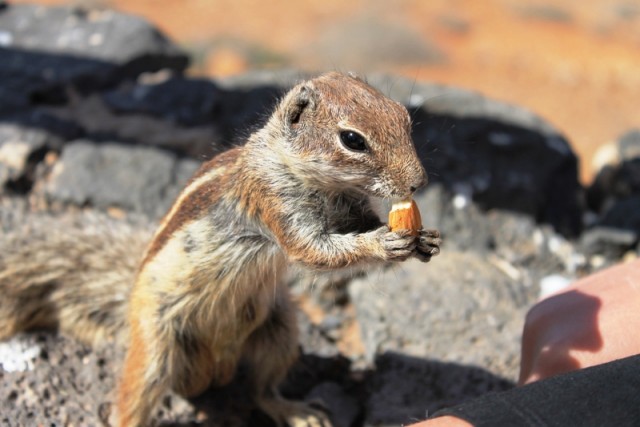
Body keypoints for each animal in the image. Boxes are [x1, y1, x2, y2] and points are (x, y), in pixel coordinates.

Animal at [0, 72, 440, 426]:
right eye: (352, 140)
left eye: (404, 117)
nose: (419, 182)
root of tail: (214, 369)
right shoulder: (273, 201)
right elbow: (313, 251)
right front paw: (383, 242)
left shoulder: (349, 209)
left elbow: (354, 228)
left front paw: (424, 241)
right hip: (155, 347)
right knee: (134, 397)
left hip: (279, 330)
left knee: (261, 390)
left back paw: (296, 411)